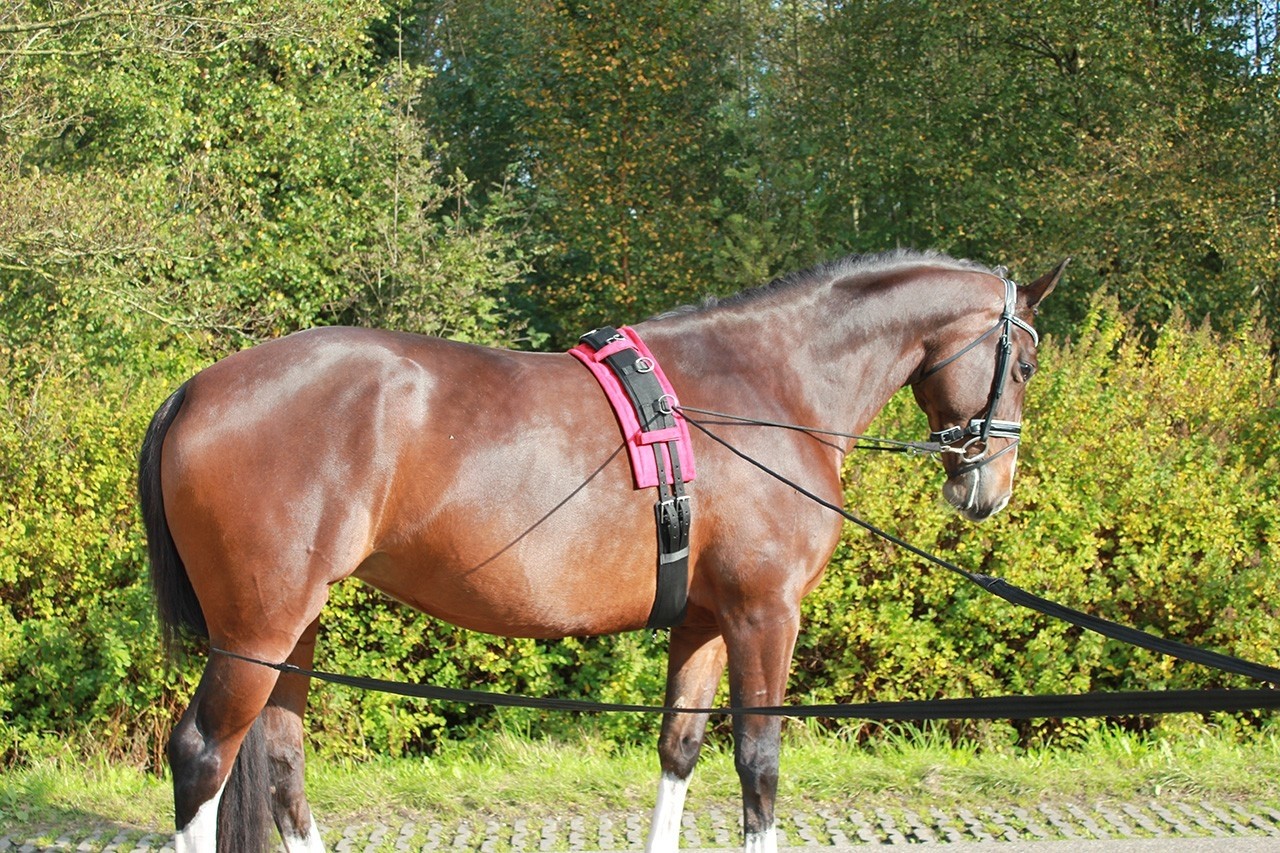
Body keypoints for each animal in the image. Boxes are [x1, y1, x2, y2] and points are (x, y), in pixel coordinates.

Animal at [140, 247, 1064, 850]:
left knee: (282, 765)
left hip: (291, 632)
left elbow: (680, 748)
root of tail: (197, 388)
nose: (989, 487)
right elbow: (759, 764)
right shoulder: (766, 613)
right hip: (257, 633)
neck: (769, 385)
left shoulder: (704, 619)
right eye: (1021, 361)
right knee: (201, 756)